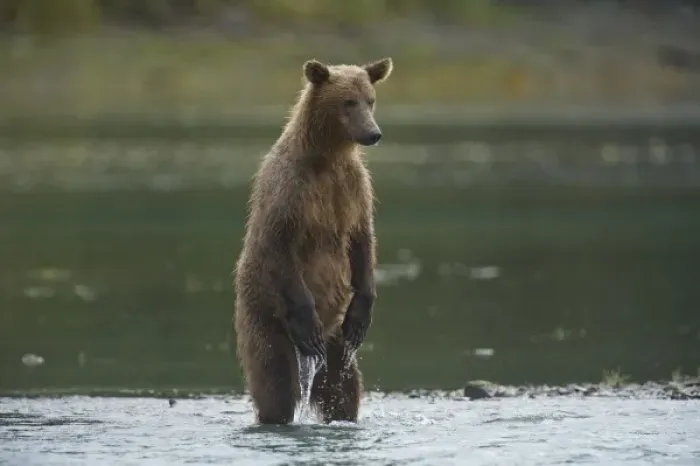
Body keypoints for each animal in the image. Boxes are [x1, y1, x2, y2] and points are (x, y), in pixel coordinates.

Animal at [232, 57, 393, 425]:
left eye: (370, 99)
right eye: (348, 102)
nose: (373, 133)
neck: (327, 156)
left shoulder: (354, 188)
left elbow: (362, 241)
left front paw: (362, 315)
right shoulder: (291, 192)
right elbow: (281, 245)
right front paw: (307, 323)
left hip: (336, 342)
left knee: (343, 386)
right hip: (262, 315)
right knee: (275, 381)